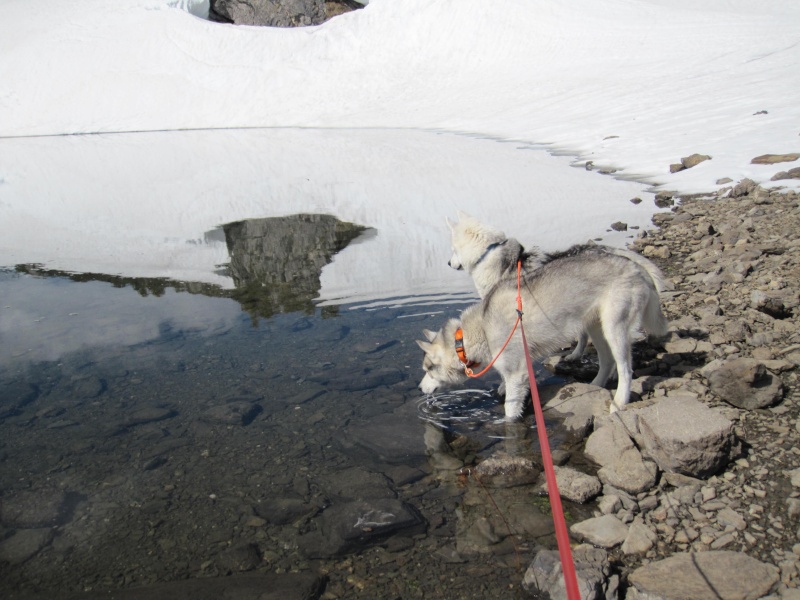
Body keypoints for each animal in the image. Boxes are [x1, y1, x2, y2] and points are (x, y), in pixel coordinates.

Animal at [418, 247, 668, 418]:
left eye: (429, 369)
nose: (420, 388)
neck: (481, 328)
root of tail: (636, 266)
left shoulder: (516, 371)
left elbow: (510, 408)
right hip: (596, 328)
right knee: (606, 361)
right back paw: (595, 385)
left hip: (614, 328)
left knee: (625, 369)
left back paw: (619, 401)